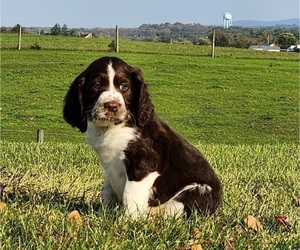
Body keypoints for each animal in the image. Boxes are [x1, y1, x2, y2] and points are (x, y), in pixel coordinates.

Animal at [63, 56, 223, 217]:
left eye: (124, 86)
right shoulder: (109, 166)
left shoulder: (143, 163)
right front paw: (103, 215)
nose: (112, 106)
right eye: (96, 85)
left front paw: (126, 221)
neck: (114, 127)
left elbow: (130, 196)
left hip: (198, 191)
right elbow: (107, 191)